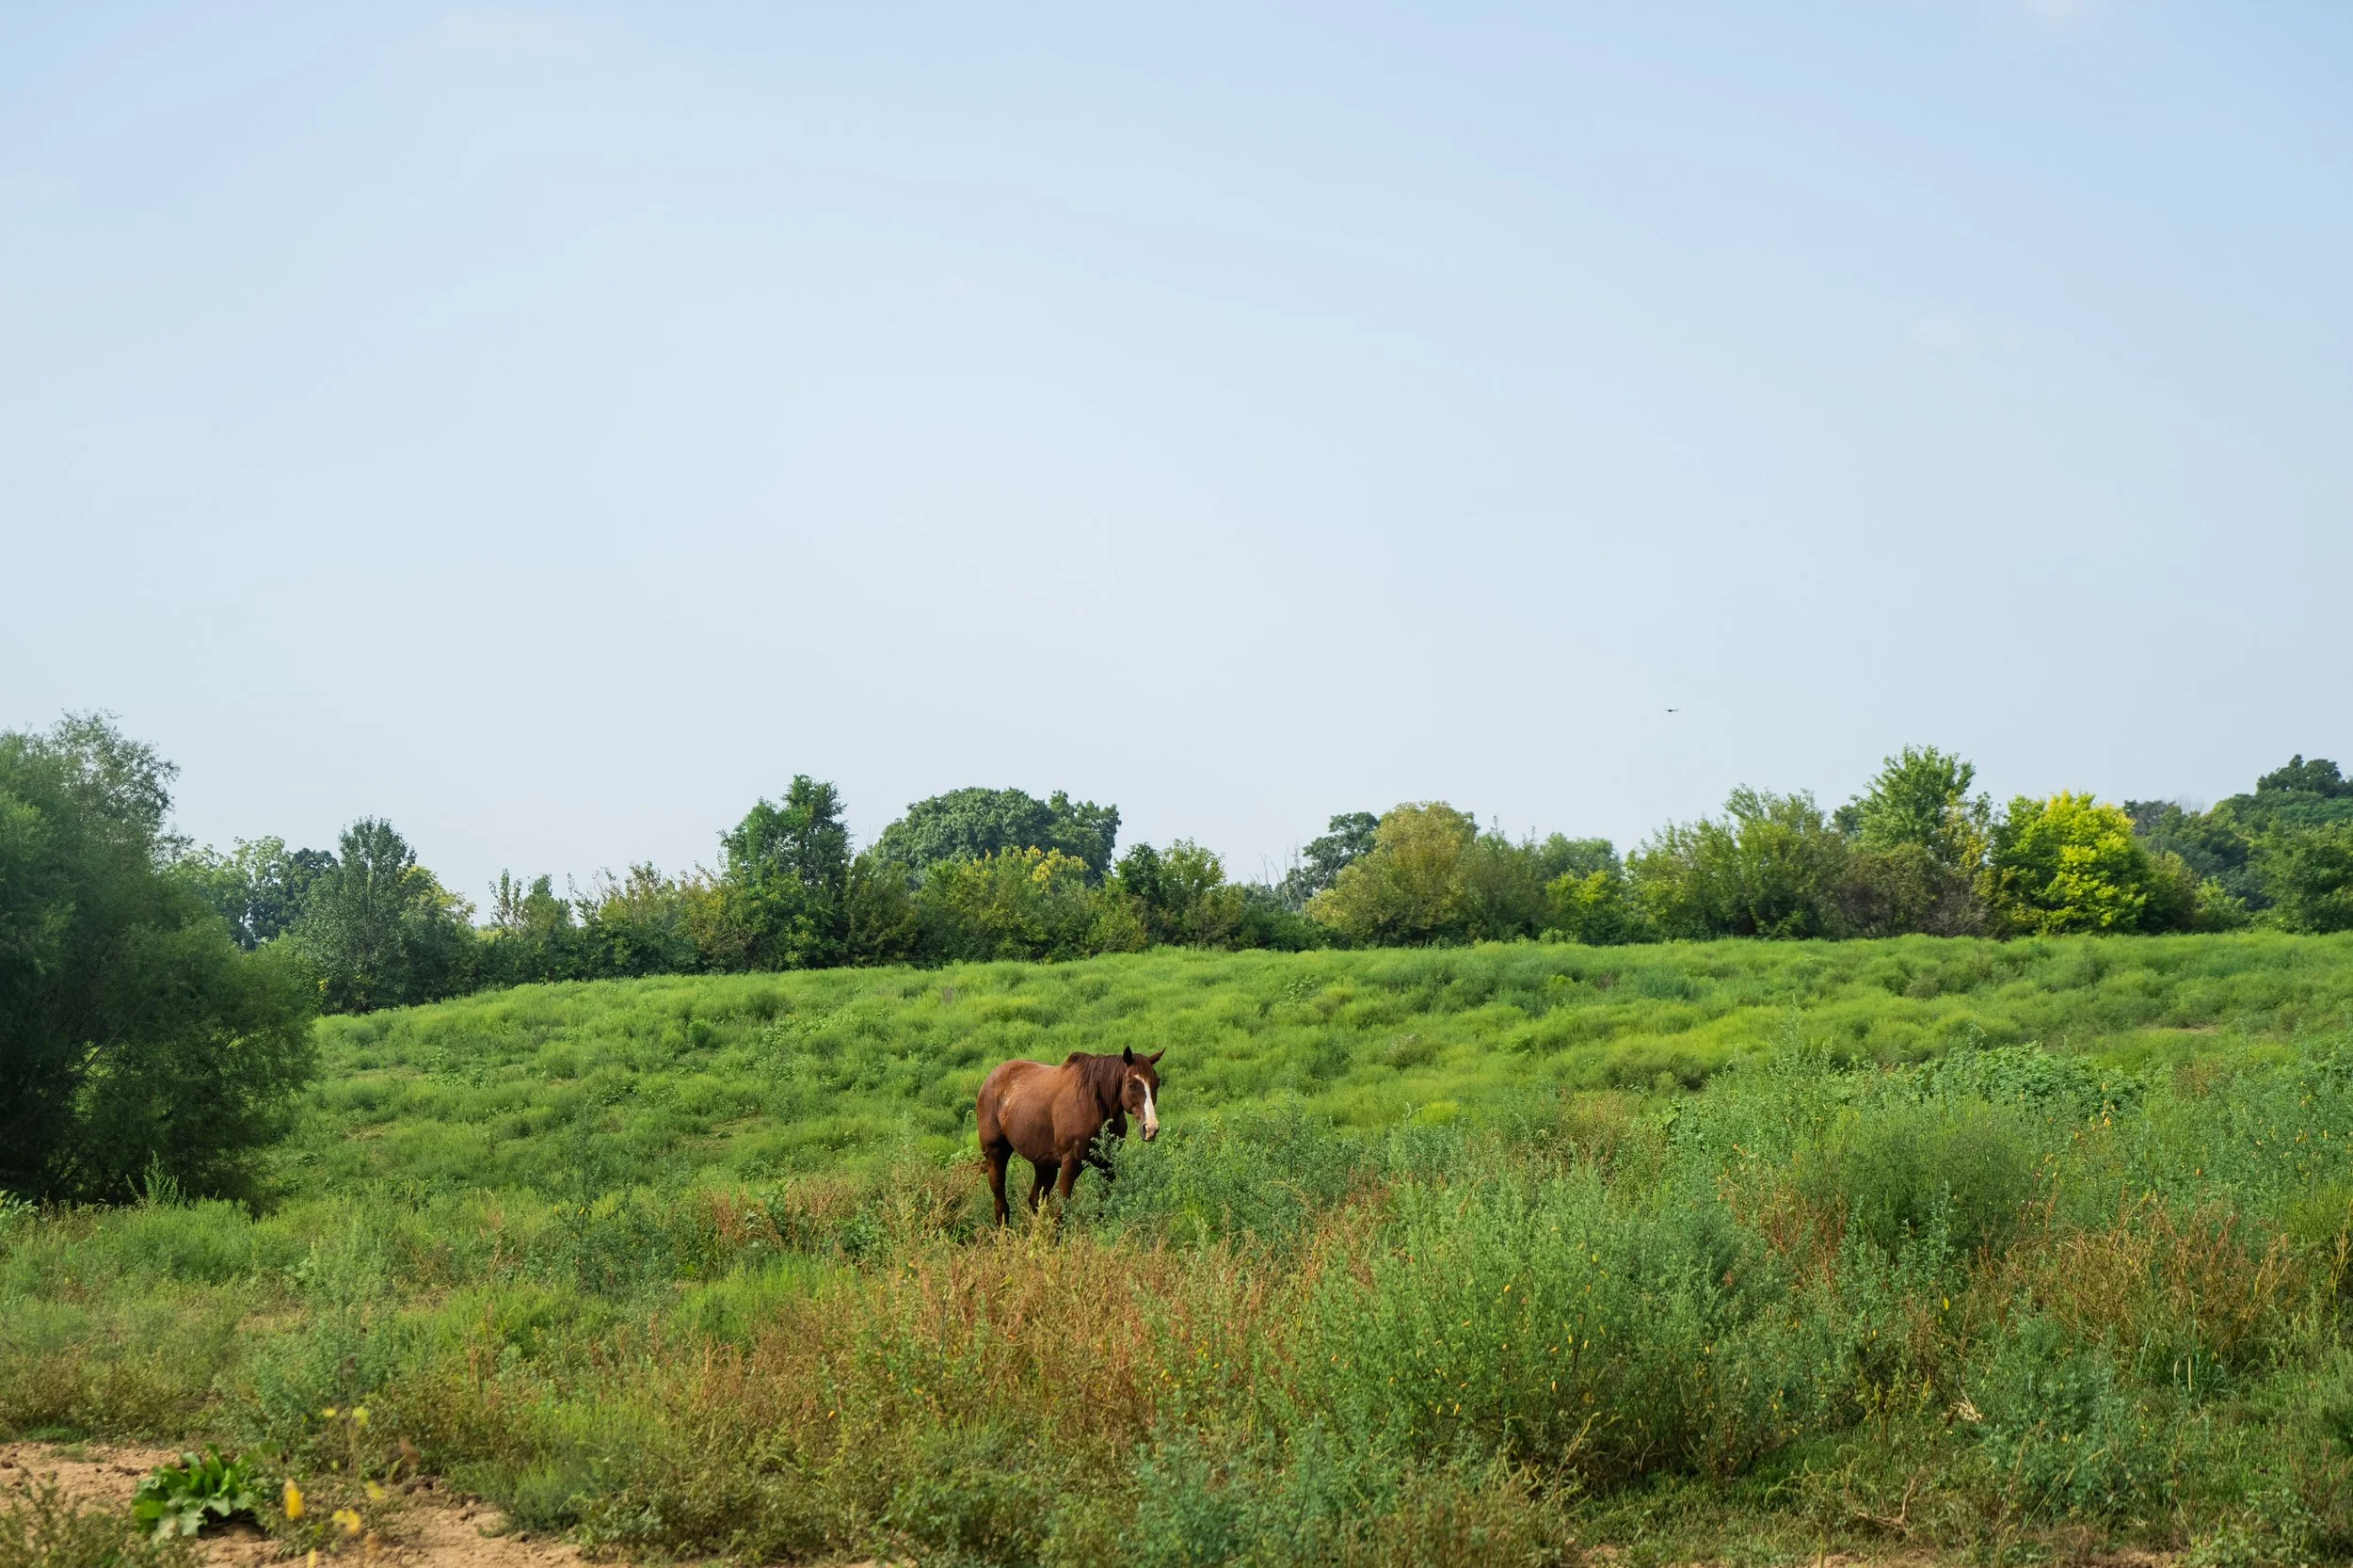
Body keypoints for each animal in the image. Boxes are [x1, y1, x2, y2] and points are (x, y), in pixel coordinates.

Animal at [976, 1046, 1163, 1224]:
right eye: (1131, 1084)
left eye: (1156, 1083)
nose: (1151, 1128)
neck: (1095, 1105)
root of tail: (990, 1079)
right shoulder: (1070, 1163)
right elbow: (1062, 1213)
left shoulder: (1107, 1165)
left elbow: (1103, 1208)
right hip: (995, 1155)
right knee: (1001, 1206)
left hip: (1044, 1164)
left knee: (1035, 1200)